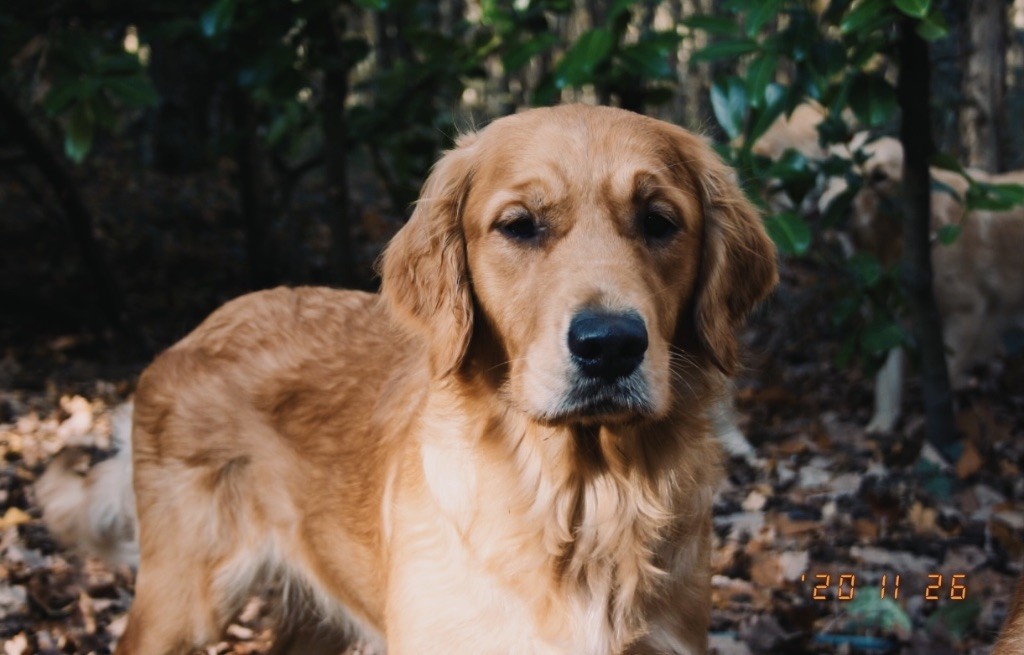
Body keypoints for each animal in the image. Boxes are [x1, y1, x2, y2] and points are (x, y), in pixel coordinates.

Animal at [37, 104, 774, 655]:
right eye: (520, 226)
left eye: (659, 222)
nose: (611, 345)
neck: (581, 500)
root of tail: (189, 336)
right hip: (182, 605)